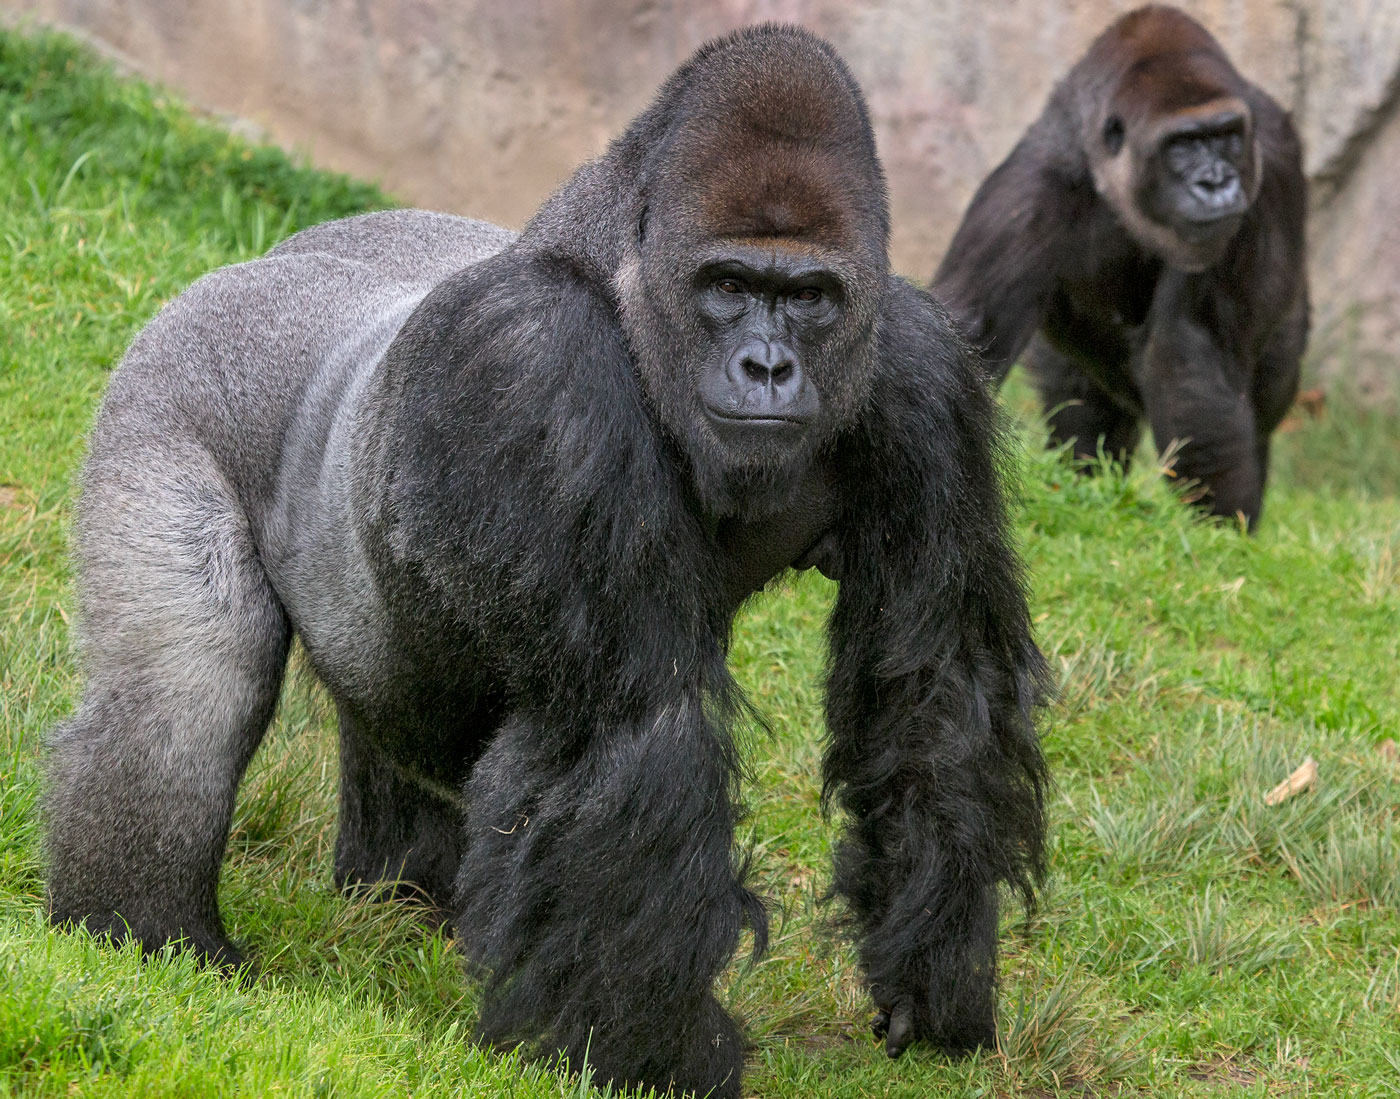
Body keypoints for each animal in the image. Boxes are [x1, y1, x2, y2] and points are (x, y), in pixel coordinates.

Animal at [43, 27, 1052, 1097]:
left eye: (808, 297)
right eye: (729, 285)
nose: (769, 367)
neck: (621, 274)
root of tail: (275, 255)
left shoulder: (919, 369)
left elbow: (929, 685)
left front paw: (933, 981)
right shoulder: (532, 363)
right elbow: (630, 729)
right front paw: (654, 1059)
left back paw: (391, 898)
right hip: (176, 373)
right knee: (187, 696)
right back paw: (145, 935)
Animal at [935, 4, 1304, 526]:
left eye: (1227, 135)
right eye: (1182, 144)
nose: (1217, 183)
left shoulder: (1270, 157)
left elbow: (1187, 352)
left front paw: (1221, 528)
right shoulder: (1024, 191)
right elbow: (966, 328)